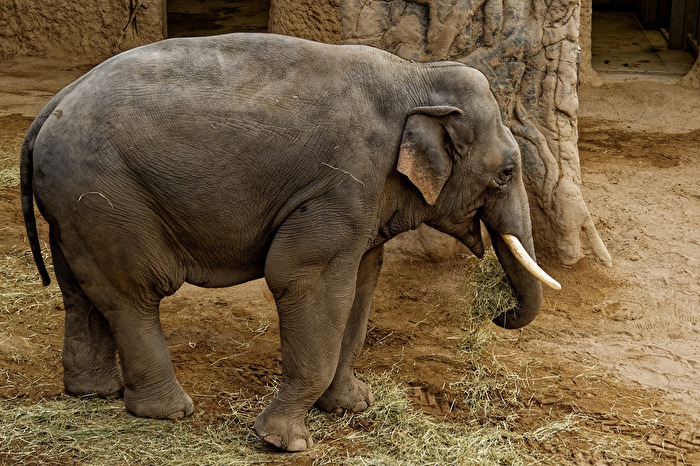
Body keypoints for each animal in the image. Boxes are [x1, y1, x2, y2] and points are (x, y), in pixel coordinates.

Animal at [20, 33, 559, 452]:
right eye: (505, 173)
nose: (498, 314)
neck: (416, 74)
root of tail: (49, 106)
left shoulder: (366, 199)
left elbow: (362, 285)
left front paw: (351, 406)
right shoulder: (342, 184)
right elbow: (303, 279)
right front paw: (285, 442)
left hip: (74, 207)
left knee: (82, 292)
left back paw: (94, 393)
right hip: (106, 196)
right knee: (134, 294)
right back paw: (168, 412)